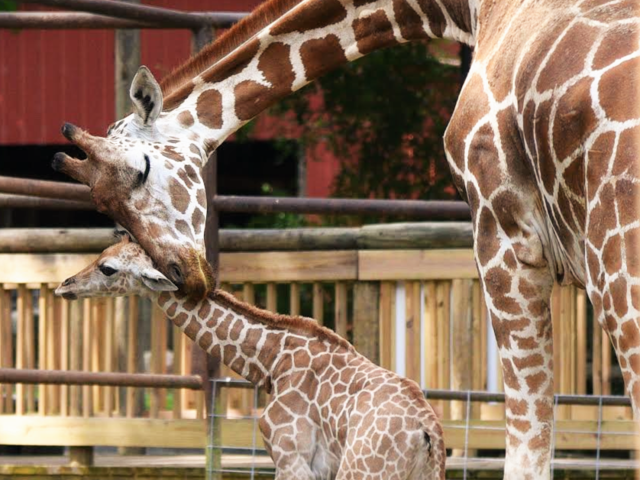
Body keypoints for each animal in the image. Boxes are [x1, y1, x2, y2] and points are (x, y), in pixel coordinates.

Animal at [54, 234, 446, 480]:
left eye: (107, 268)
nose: (64, 285)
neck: (272, 361)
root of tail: (428, 432)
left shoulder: (292, 459)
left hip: (364, 470)